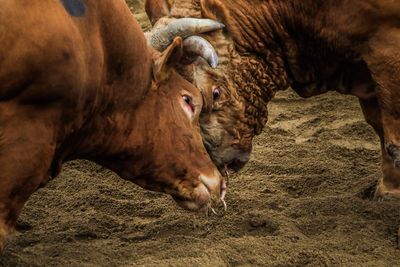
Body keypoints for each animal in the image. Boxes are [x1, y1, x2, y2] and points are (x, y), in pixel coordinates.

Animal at [145, 0, 400, 199]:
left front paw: (389, 193)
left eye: (215, 93)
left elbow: (392, 136)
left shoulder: (386, 52)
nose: (217, 159)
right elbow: (379, 126)